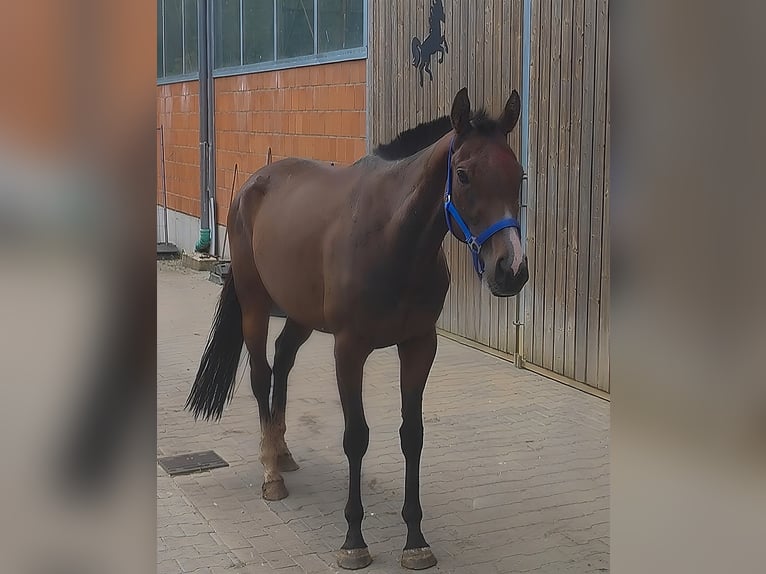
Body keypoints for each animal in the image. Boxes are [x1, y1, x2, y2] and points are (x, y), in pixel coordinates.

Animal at [186, 87, 528, 570]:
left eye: (519, 176)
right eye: (462, 175)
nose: (510, 269)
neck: (392, 239)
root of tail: (253, 184)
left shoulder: (419, 345)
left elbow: (412, 435)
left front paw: (415, 538)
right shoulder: (349, 350)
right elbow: (356, 437)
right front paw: (353, 539)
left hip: (301, 315)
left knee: (283, 363)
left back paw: (283, 453)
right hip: (254, 307)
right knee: (260, 375)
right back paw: (271, 471)